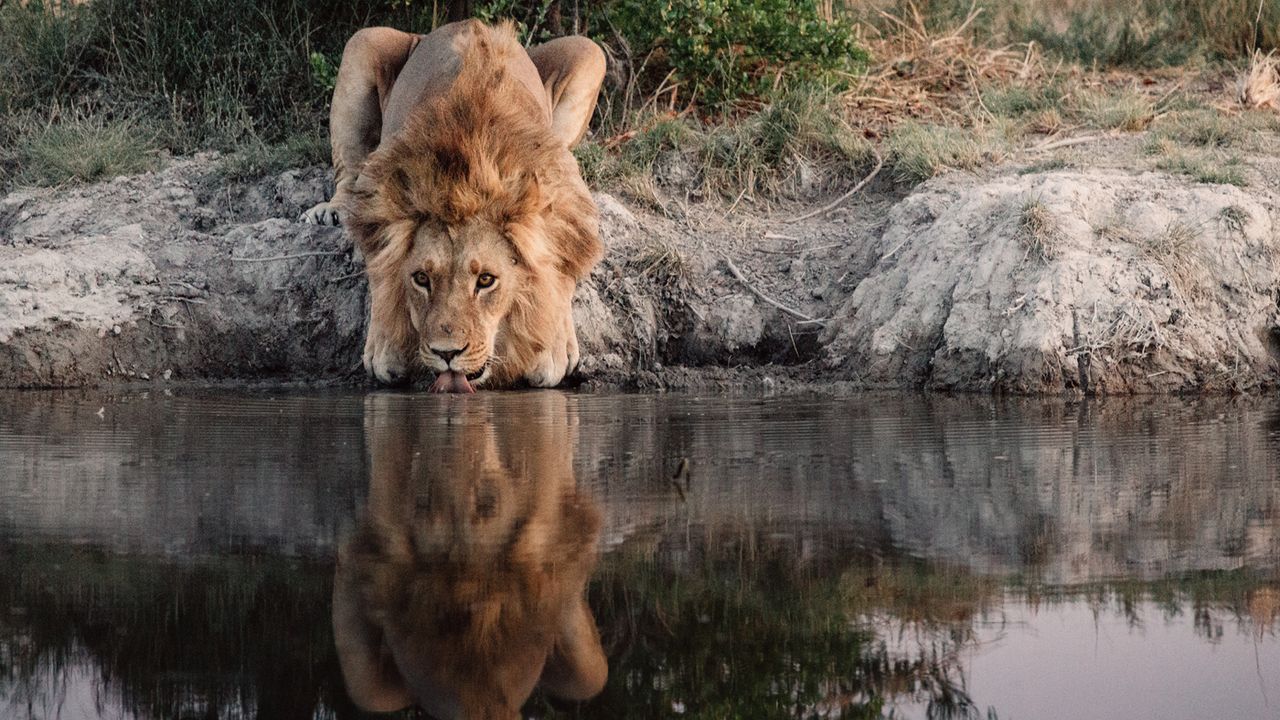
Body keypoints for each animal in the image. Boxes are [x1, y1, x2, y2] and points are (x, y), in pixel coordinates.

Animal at [300, 20, 606, 392]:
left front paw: (552, 348)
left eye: (486, 280)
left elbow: (562, 265)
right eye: (421, 278)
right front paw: (386, 347)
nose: (447, 353)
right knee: (346, 173)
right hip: (363, 42)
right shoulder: (379, 187)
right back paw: (330, 211)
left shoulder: (570, 195)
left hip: (589, 50)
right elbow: (380, 267)